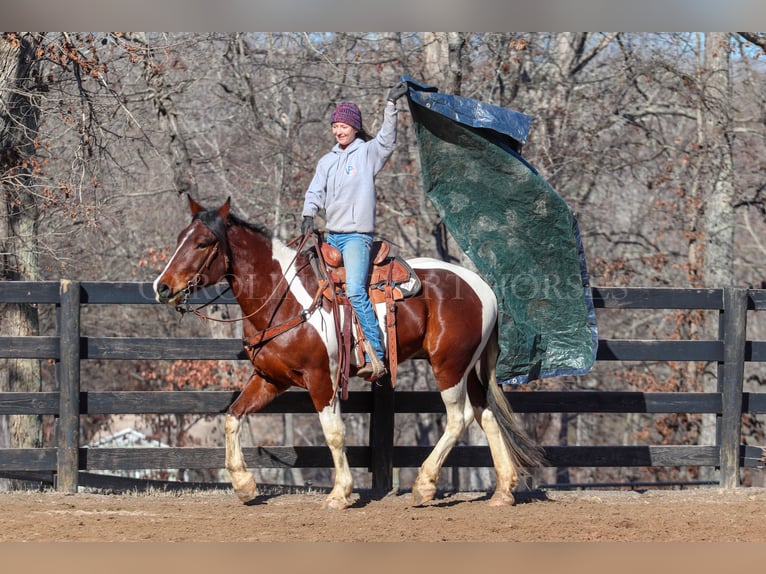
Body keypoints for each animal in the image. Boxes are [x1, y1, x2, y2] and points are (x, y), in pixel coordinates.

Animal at [153, 197, 544, 508]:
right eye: (179, 237)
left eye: (203, 242)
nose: (162, 287)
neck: (284, 296)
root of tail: (483, 287)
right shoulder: (269, 378)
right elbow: (233, 416)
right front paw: (244, 484)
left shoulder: (320, 379)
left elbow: (334, 433)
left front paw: (340, 493)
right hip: (469, 367)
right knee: (486, 415)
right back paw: (503, 492)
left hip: (448, 365)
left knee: (458, 418)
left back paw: (424, 486)